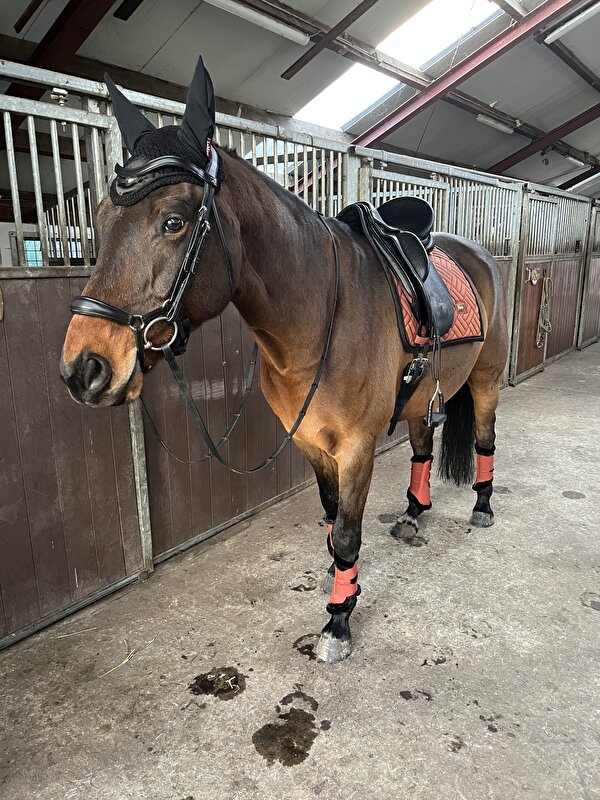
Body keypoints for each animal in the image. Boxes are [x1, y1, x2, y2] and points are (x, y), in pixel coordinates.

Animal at [60, 58, 508, 663]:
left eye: (173, 221)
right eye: (103, 216)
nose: (85, 368)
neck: (319, 317)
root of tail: (479, 254)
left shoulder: (356, 447)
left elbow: (348, 531)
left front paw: (338, 622)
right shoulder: (311, 441)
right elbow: (330, 518)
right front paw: (342, 584)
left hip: (484, 381)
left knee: (484, 439)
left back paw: (482, 506)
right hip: (420, 394)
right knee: (421, 445)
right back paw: (414, 514)